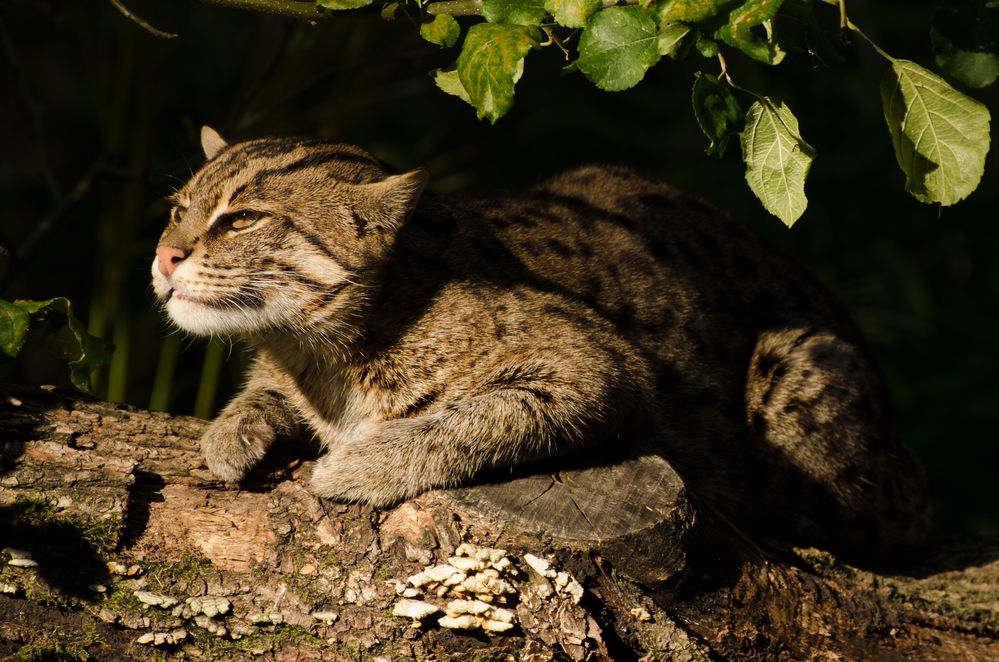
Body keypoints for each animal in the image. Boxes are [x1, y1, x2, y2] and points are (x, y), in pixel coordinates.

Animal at [150, 127, 928, 552]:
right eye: (178, 209)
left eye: (242, 219)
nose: (163, 256)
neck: (317, 347)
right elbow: (263, 394)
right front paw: (236, 425)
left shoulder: (603, 368)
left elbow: (469, 419)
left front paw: (362, 464)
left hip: (796, 371)